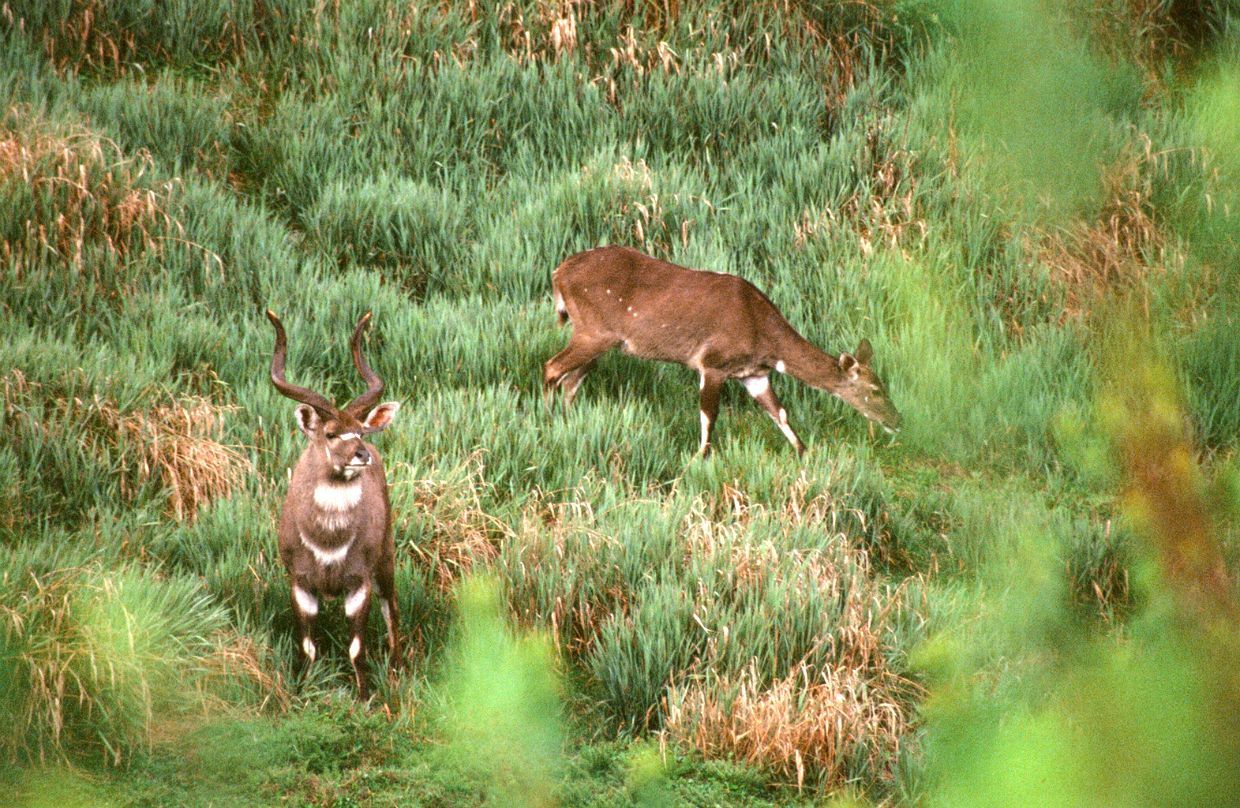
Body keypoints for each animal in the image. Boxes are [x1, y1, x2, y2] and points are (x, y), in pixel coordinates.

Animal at [267, 309, 399, 693]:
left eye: (361, 429)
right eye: (330, 433)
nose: (361, 454)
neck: (327, 541)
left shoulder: (360, 581)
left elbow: (357, 648)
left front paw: (367, 697)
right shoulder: (299, 581)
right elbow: (307, 646)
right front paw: (300, 691)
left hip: (387, 558)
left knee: (392, 611)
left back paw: (399, 668)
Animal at [543, 246, 902, 453]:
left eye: (883, 384)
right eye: (875, 389)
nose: (897, 420)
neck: (764, 339)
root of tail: (558, 273)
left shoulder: (754, 375)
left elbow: (781, 413)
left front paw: (805, 455)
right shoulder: (712, 362)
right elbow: (709, 416)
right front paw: (701, 459)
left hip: (601, 340)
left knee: (570, 380)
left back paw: (566, 420)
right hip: (593, 331)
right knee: (552, 368)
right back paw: (546, 418)